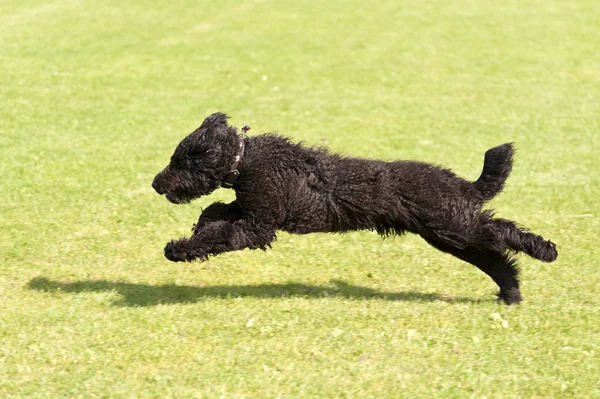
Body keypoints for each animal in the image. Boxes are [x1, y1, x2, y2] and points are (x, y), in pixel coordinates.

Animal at [151, 113, 556, 306]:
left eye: (181, 160)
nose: (156, 183)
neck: (245, 159)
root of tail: (460, 183)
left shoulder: (258, 225)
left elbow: (219, 234)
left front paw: (178, 249)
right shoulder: (251, 212)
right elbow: (215, 214)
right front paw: (192, 234)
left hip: (456, 225)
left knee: (503, 231)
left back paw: (545, 250)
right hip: (450, 236)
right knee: (496, 258)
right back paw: (511, 294)